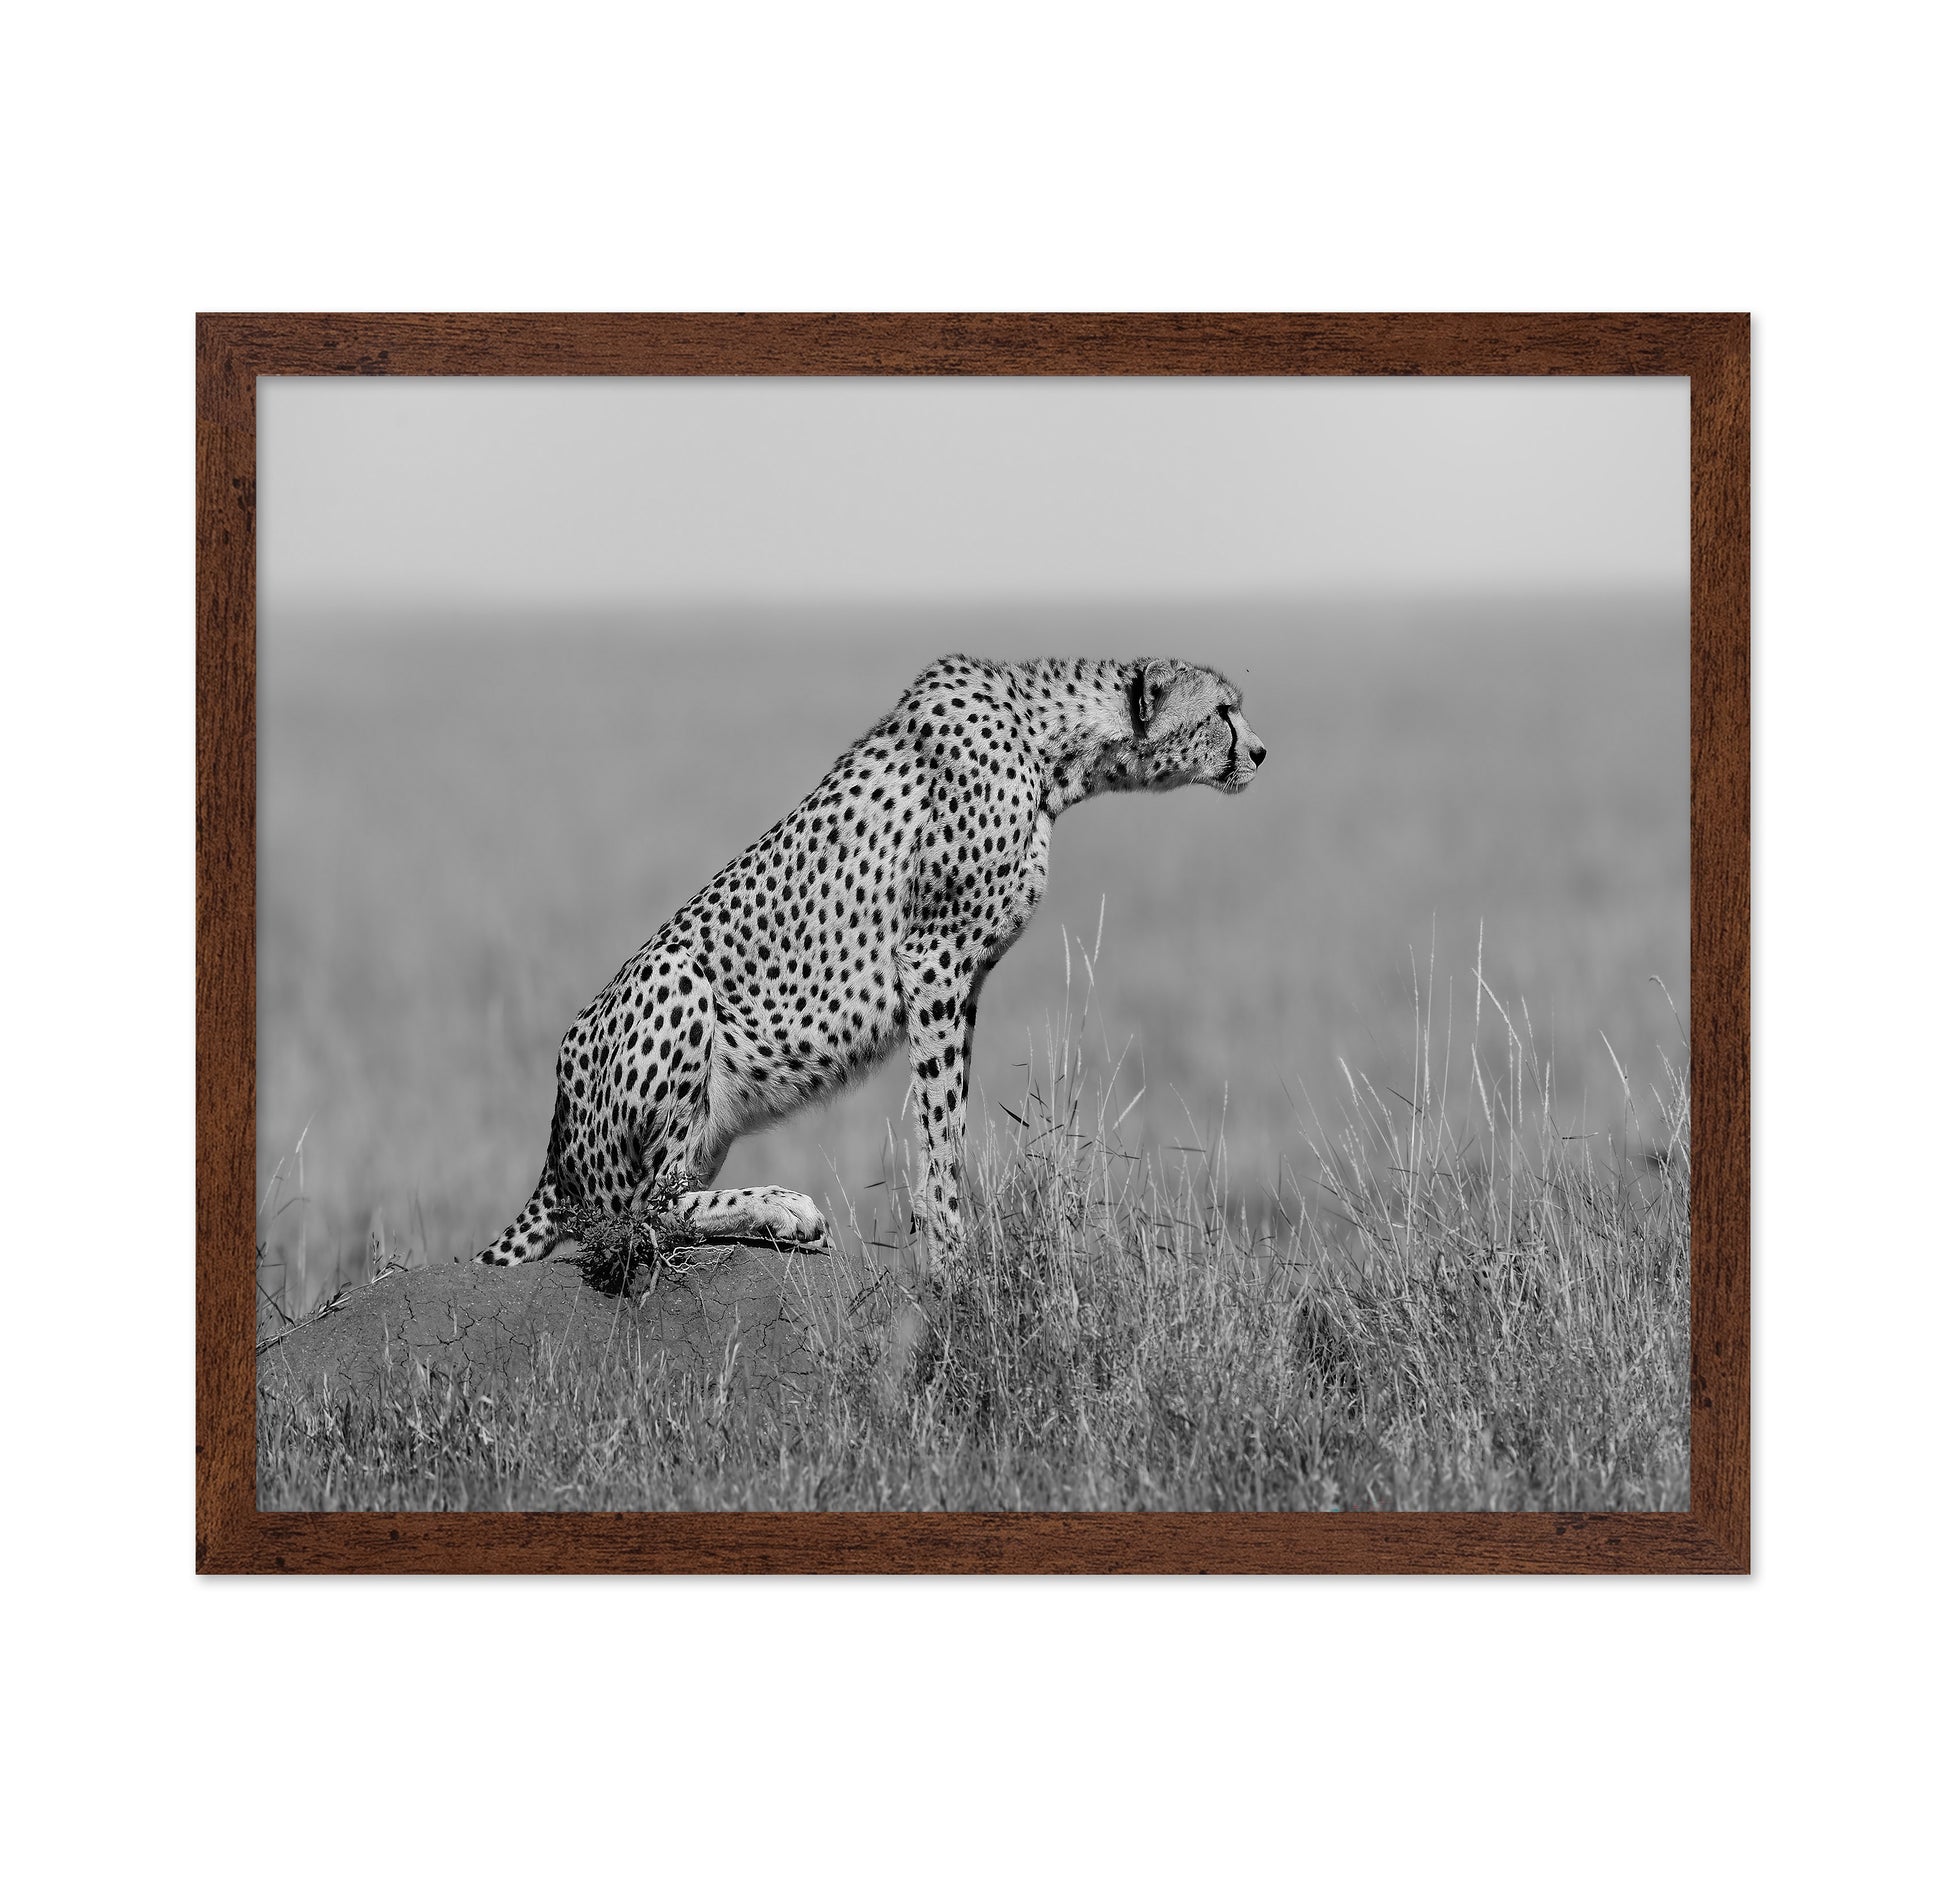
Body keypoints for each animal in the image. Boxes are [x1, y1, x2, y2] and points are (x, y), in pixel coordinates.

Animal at [474, 654, 1267, 1270]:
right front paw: (950, 1253)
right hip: (676, 978)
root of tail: (555, 1136)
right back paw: (784, 1207)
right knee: (633, 1217)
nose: (1261, 752)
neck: (1051, 746)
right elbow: (940, 1123)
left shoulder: (963, 978)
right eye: (1223, 710)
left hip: (705, 1124)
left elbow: (949, 1113)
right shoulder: (935, 957)